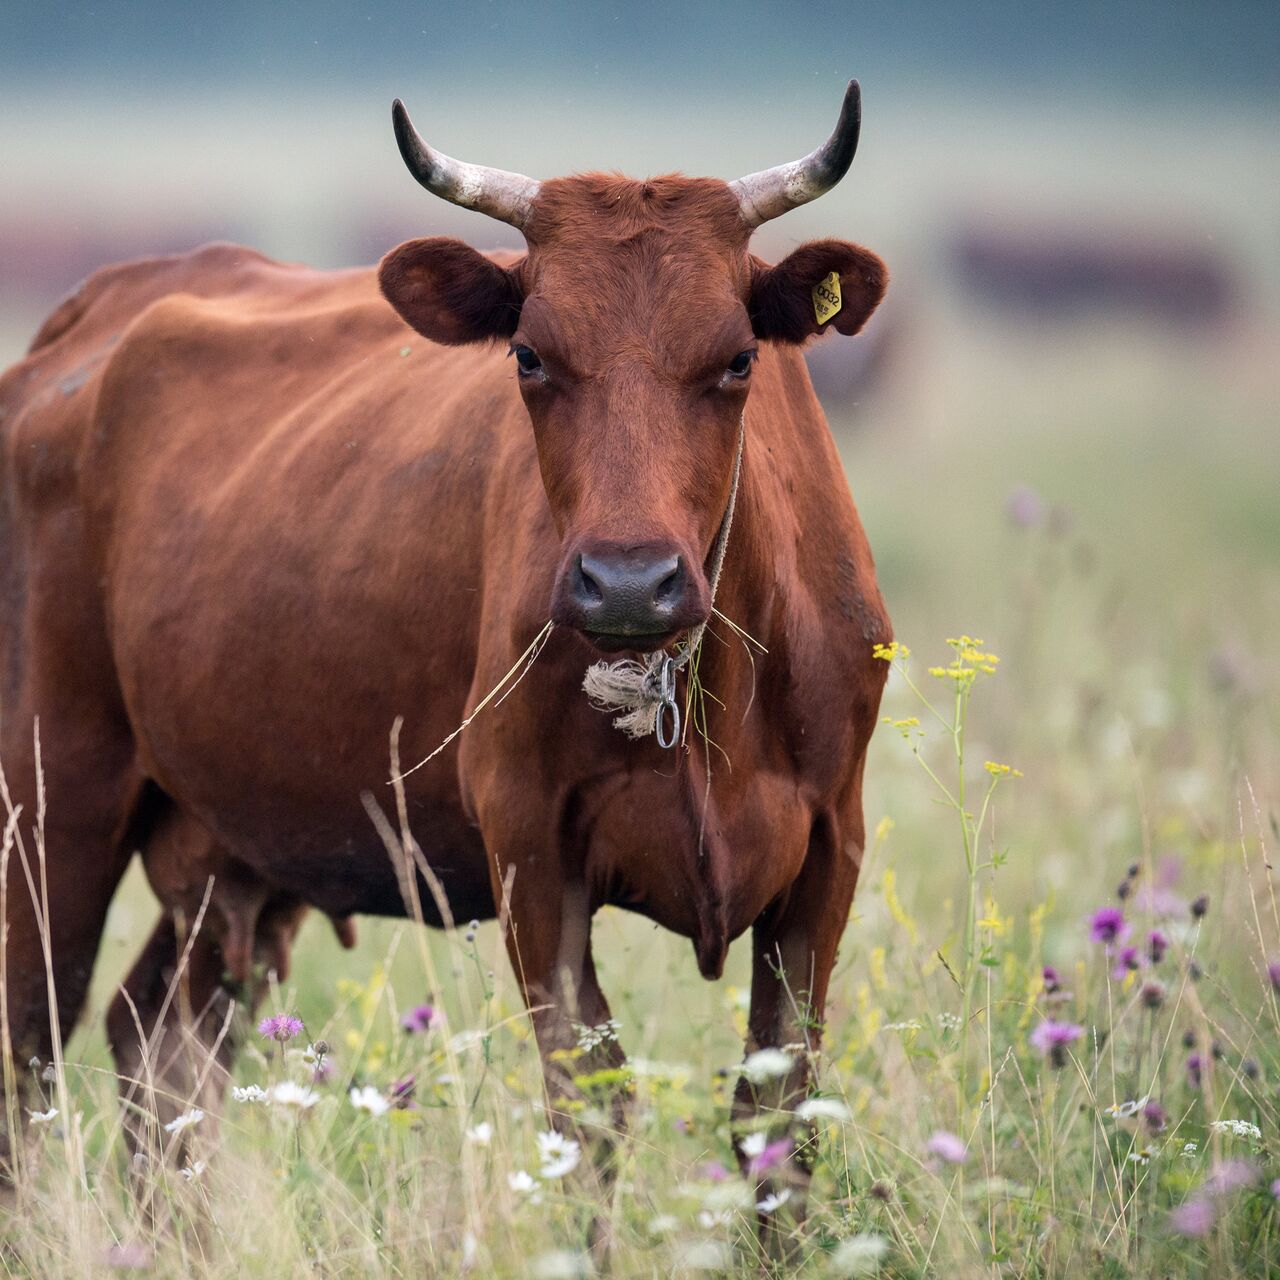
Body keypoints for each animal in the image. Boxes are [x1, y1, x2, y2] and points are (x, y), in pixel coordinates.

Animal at [2, 85, 890, 1244]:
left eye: (740, 358)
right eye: (529, 357)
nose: (627, 582)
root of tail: (98, 308)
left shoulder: (831, 842)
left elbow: (779, 1114)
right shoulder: (530, 845)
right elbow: (587, 1105)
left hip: (230, 841)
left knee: (159, 1041)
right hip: (55, 790)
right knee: (35, 1036)